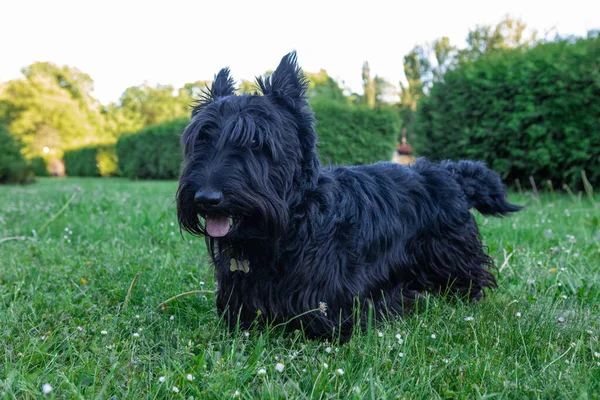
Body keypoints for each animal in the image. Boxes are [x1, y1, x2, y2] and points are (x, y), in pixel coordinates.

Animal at [175, 51, 520, 342]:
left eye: (256, 141)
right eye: (201, 139)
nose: (206, 198)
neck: (296, 221)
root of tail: (448, 171)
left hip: (450, 254)